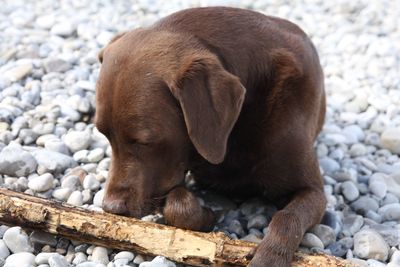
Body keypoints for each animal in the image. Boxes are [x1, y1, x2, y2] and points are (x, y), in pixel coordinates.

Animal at [95, 6, 326, 267]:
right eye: (103, 134)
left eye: (145, 142)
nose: (110, 207)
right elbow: (177, 206)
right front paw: (207, 216)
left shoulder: (313, 192)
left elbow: (288, 217)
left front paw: (269, 256)